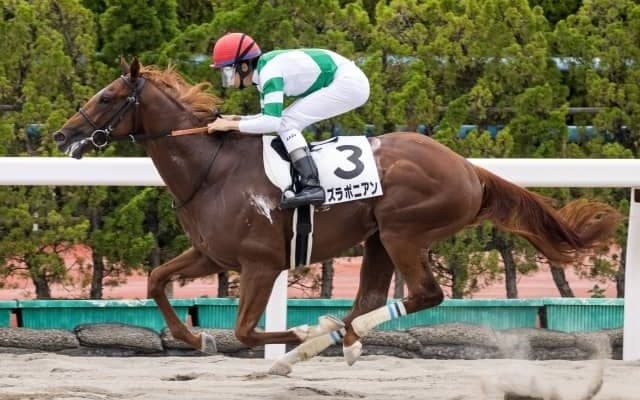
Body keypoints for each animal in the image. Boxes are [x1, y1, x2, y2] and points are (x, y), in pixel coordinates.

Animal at [53, 58, 621, 375]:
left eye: (106, 96)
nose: (61, 134)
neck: (212, 168)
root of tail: (468, 167)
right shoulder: (211, 254)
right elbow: (156, 280)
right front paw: (197, 338)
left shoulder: (261, 264)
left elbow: (246, 331)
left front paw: (297, 334)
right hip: (378, 238)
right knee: (371, 297)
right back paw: (333, 339)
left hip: (403, 230)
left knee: (423, 295)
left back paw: (327, 338)